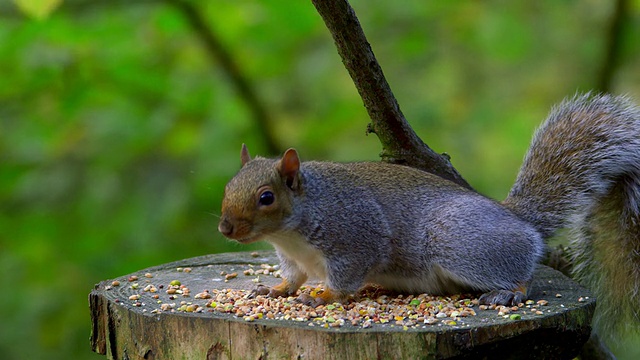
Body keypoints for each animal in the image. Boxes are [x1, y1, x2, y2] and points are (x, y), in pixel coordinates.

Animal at [218, 93, 636, 340]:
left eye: (267, 197)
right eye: (228, 185)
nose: (224, 227)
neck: (291, 234)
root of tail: (519, 221)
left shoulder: (356, 234)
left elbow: (347, 276)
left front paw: (323, 295)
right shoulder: (293, 259)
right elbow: (292, 278)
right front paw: (274, 290)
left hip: (457, 242)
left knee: (521, 273)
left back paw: (509, 291)